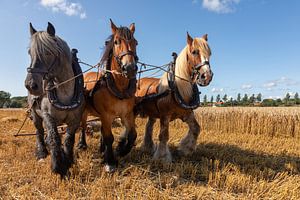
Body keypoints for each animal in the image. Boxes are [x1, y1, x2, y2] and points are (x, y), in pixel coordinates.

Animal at [24, 22, 84, 177]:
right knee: (39, 131)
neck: (64, 90)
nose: (30, 85)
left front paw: (68, 161)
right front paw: (58, 167)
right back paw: (42, 152)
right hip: (35, 115)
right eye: (30, 53)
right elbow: (54, 138)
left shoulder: (75, 118)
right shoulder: (47, 115)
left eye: (48, 52)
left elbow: (69, 139)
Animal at [77, 19, 138, 172]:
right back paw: (82, 144)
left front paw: (121, 151)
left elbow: (132, 135)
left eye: (136, 42)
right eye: (116, 42)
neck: (119, 87)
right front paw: (110, 161)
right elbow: (109, 137)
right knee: (83, 126)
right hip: (85, 112)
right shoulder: (106, 115)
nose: (130, 68)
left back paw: (101, 148)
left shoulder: (126, 114)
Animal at [135, 32, 212, 162]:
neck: (177, 87)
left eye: (210, 53)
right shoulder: (165, 115)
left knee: (149, 126)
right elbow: (164, 136)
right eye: (194, 52)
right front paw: (162, 158)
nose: (207, 76)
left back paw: (147, 146)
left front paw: (186, 149)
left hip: (152, 113)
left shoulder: (187, 114)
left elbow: (196, 129)